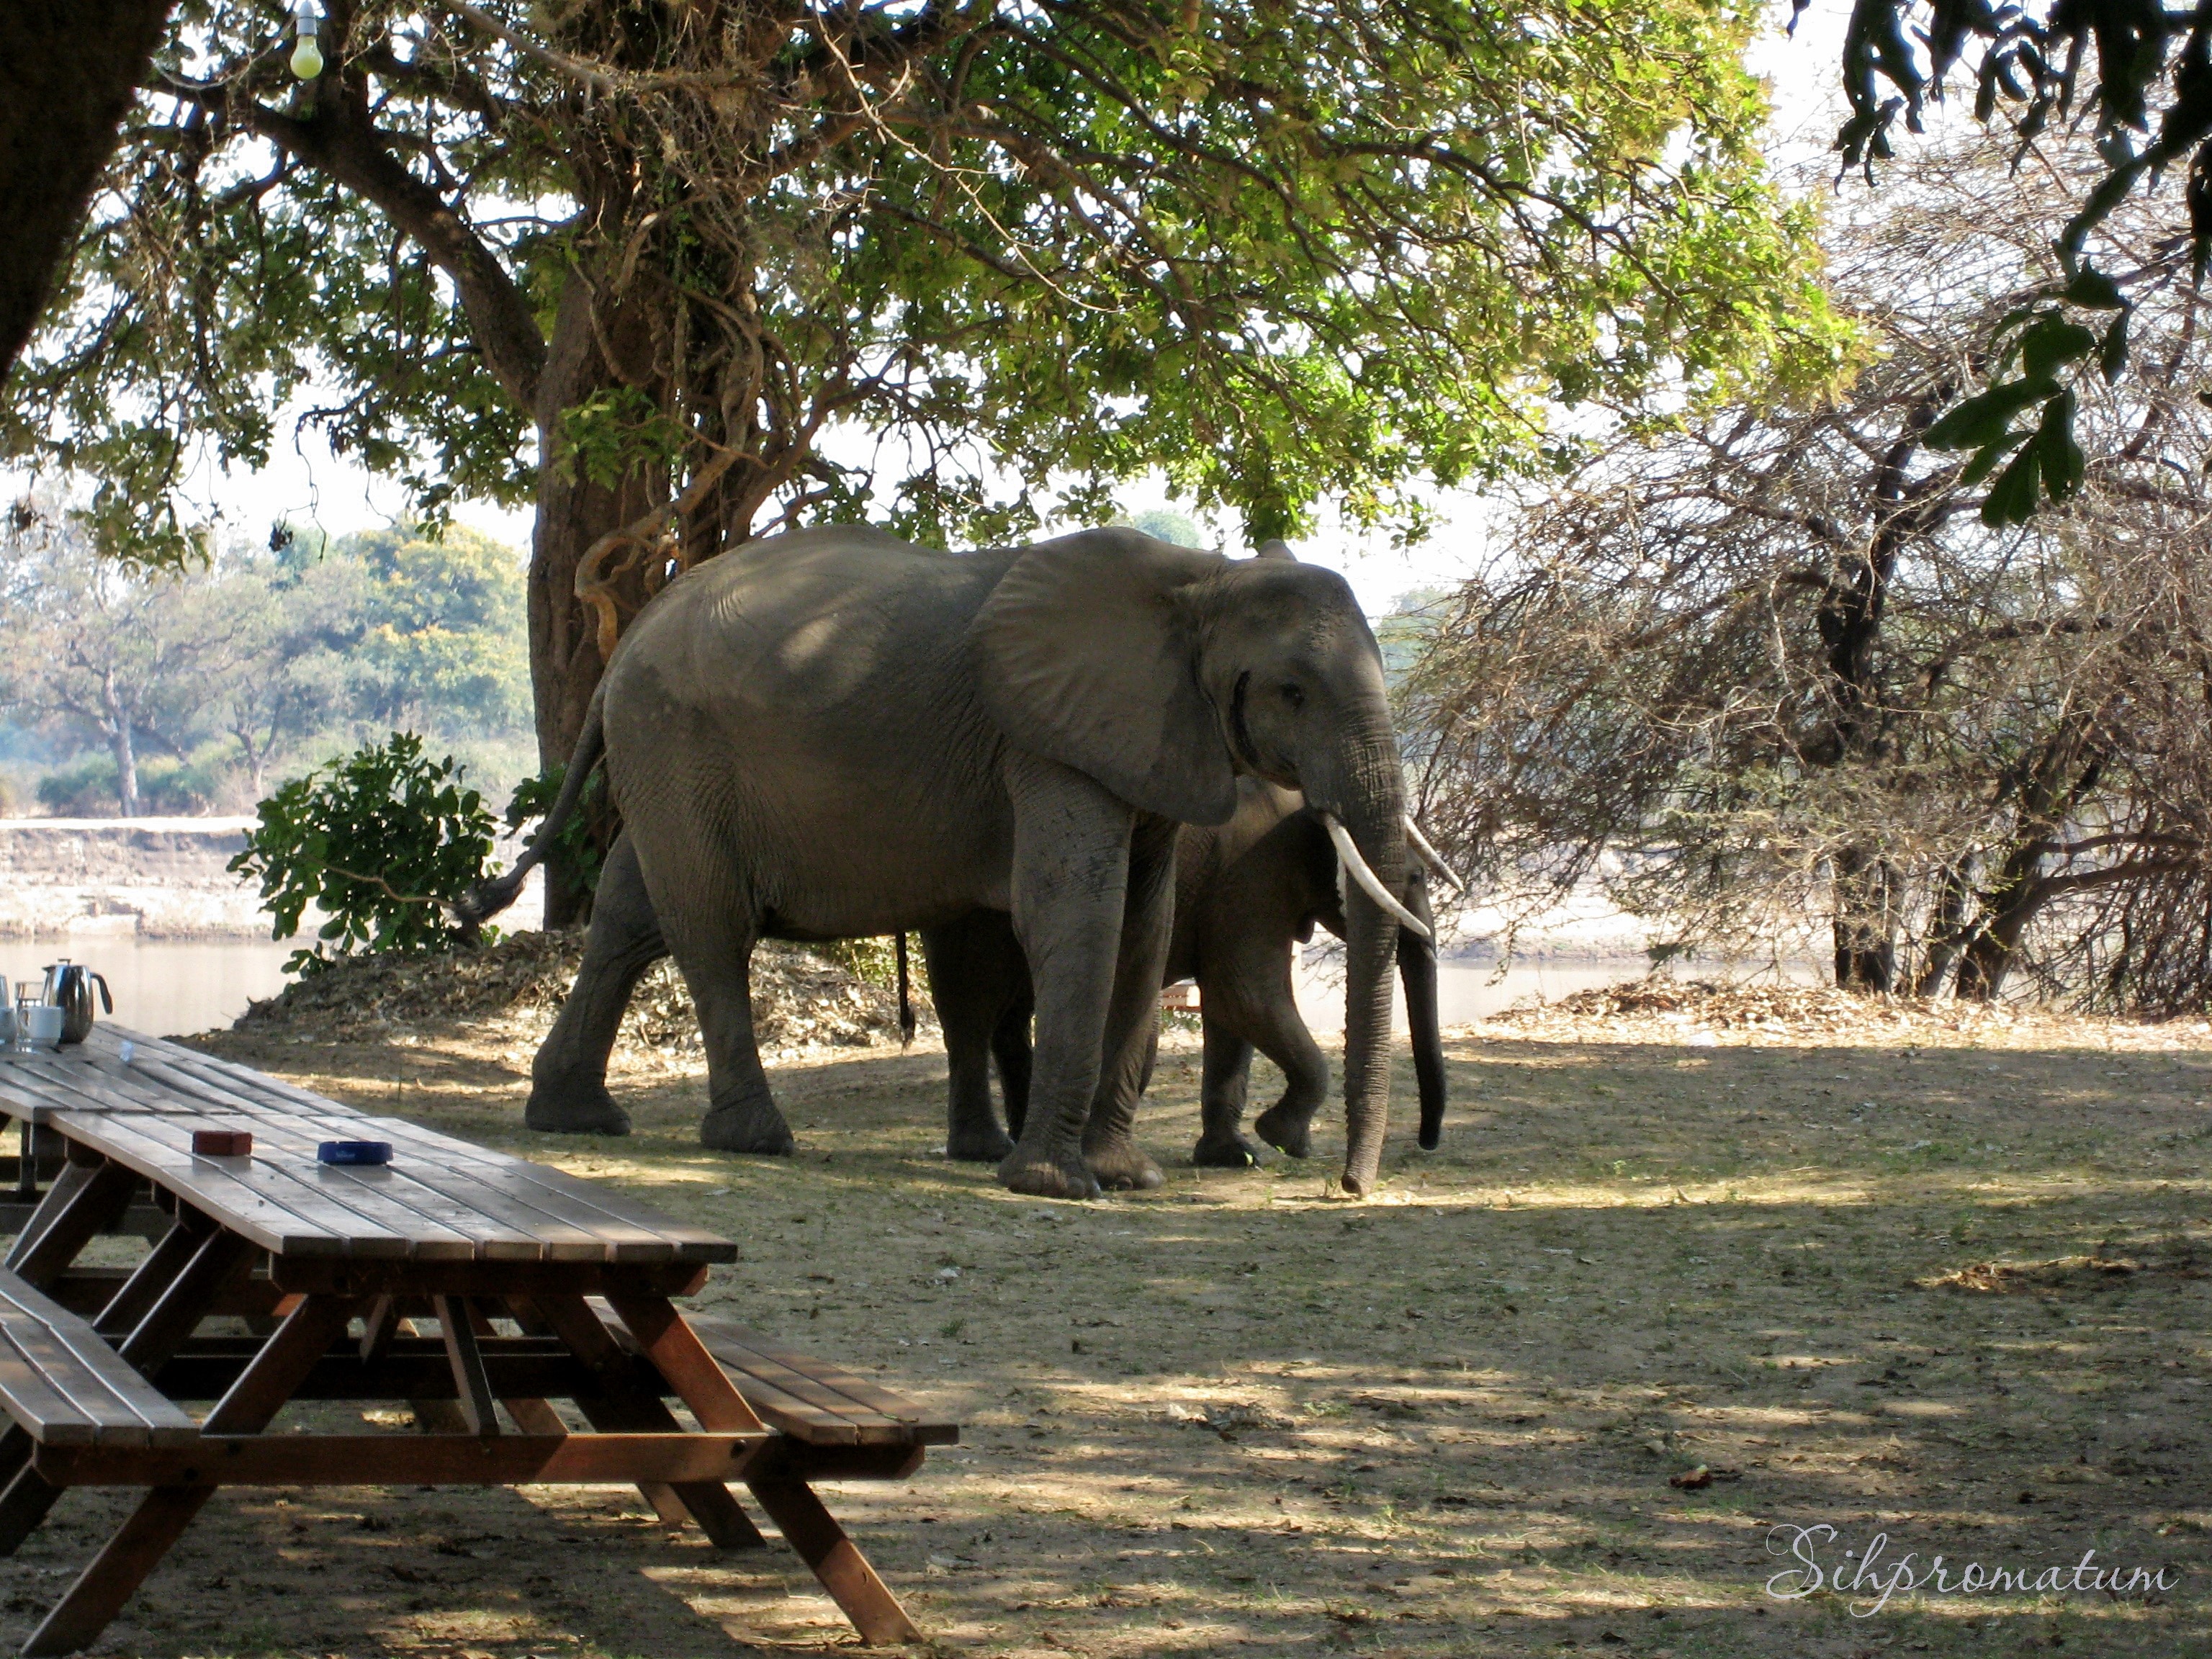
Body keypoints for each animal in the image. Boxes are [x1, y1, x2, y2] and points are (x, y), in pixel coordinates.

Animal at [929, 787, 1460, 1177]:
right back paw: (989, 1150)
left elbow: (1230, 1014)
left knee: (1004, 1015)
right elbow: (1245, 995)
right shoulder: (1253, 873)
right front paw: (1282, 1139)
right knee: (971, 1007)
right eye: (1415, 878)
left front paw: (1236, 1157)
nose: (1428, 1141)